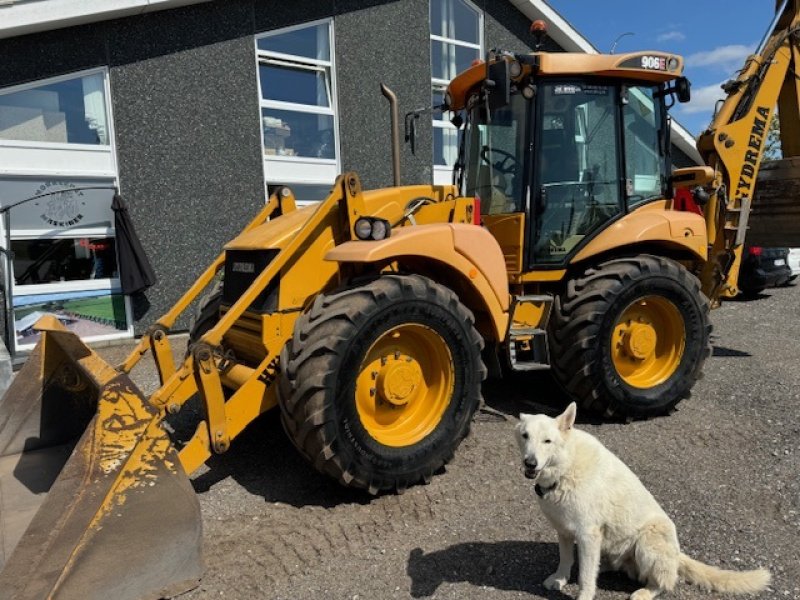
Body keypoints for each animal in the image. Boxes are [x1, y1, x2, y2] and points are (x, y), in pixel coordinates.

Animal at [516, 404, 772, 600]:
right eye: (525, 436)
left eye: (547, 441)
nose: (530, 463)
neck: (565, 468)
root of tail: (677, 554)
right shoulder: (565, 530)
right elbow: (566, 559)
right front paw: (560, 579)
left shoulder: (588, 534)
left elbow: (586, 578)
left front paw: (584, 594)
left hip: (647, 543)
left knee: (666, 583)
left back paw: (645, 592)